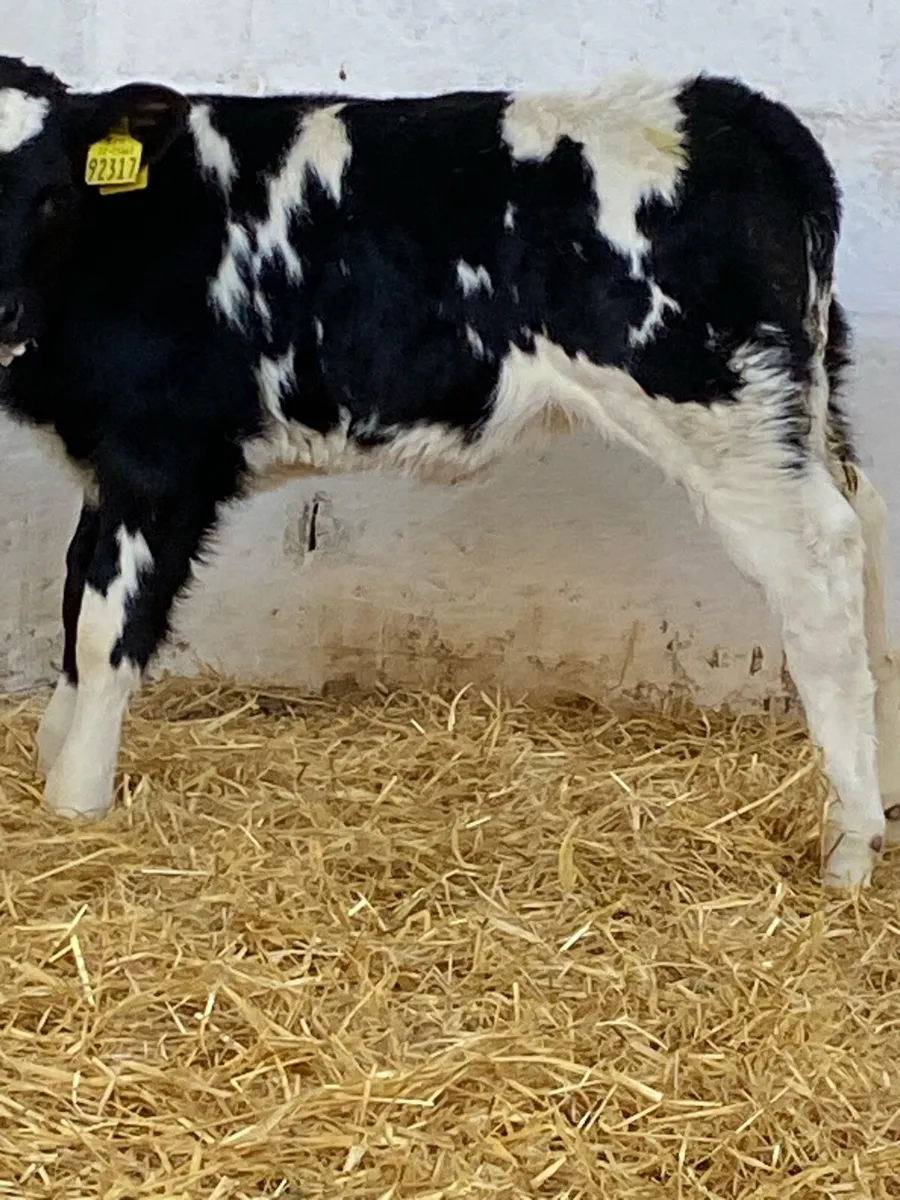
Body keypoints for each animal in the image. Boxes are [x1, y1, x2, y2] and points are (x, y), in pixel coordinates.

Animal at [0, 55, 895, 892]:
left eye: (50, 194)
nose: (1, 310)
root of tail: (735, 108)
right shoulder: (107, 468)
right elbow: (75, 595)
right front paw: (52, 758)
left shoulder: (162, 456)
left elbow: (105, 626)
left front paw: (76, 802)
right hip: (801, 402)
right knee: (869, 523)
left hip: (722, 411)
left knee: (819, 567)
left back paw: (849, 845)